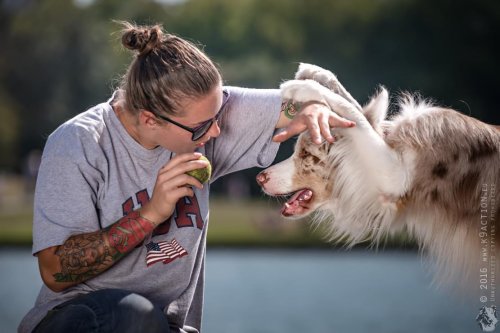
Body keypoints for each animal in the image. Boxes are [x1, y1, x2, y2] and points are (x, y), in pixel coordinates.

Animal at [258, 63, 500, 290]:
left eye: (306, 154)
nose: (260, 177)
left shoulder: (397, 177)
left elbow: (356, 117)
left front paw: (303, 87)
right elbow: (355, 111)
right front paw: (315, 73)